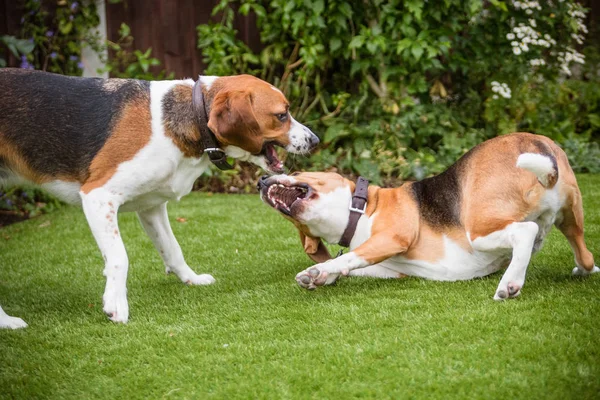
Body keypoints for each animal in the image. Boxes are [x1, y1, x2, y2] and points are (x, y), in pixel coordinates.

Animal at [0, 69, 318, 328]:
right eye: (281, 115)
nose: (315, 141)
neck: (191, 115)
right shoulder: (98, 196)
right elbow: (119, 257)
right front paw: (116, 304)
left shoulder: (152, 207)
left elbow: (172, 248)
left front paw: (190, 279)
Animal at [260, 133, 596, 298]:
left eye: (298, 172)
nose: (261, 181)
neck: (362, 208)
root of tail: (534, 143)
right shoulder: (389, 266)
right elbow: (346, 265)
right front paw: (317, 276)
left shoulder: (393, 238)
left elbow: (348, 258)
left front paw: (320, 270)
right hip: (570, 218)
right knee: (585, 255)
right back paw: (585, 270)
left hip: (480, 232)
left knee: (525, 232)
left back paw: (510, 283)